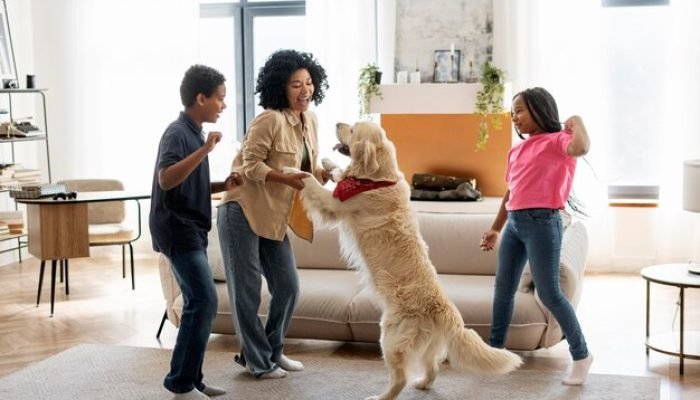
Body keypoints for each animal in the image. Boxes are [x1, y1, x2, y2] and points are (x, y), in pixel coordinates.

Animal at [284, 122, 520, 400]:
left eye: (352, 130)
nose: (338, 124)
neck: (375, 179)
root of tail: (446, 312)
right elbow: (338, 173)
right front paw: (329, 163)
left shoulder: (335, 204)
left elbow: (311, 182)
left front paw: (291, 170)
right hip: (426, 344)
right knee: (432, 368)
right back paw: (423, 384)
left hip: (390, 336)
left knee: (400, 378)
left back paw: (380, 397)